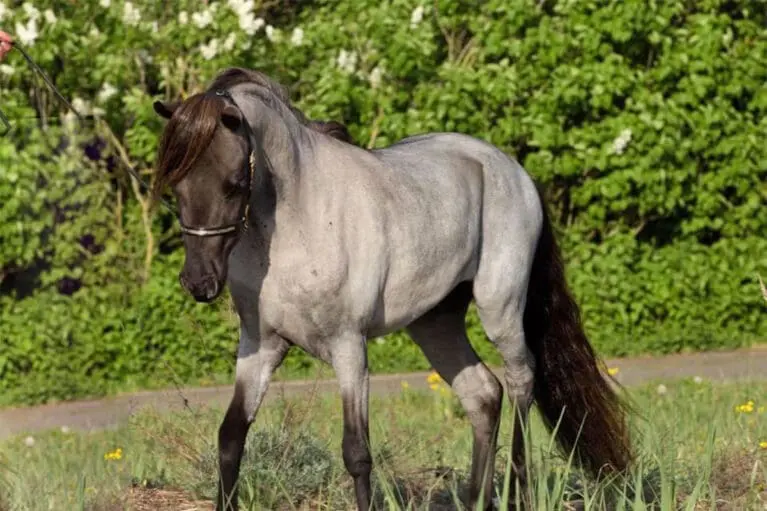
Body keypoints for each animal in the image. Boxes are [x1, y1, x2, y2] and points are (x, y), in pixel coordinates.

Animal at [151, 67, 632, 510]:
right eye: (175, 186)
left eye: (233, 184)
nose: (199, 282)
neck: (297, 221)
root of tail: (516, 172)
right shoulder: (261, 346)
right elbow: (231, 437)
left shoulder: (349, 347)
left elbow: (356, 453)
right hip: (435, 324)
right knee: (482, 394)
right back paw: (475, 497)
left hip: (501, 308)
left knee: (520, 382)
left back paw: (519, 490)